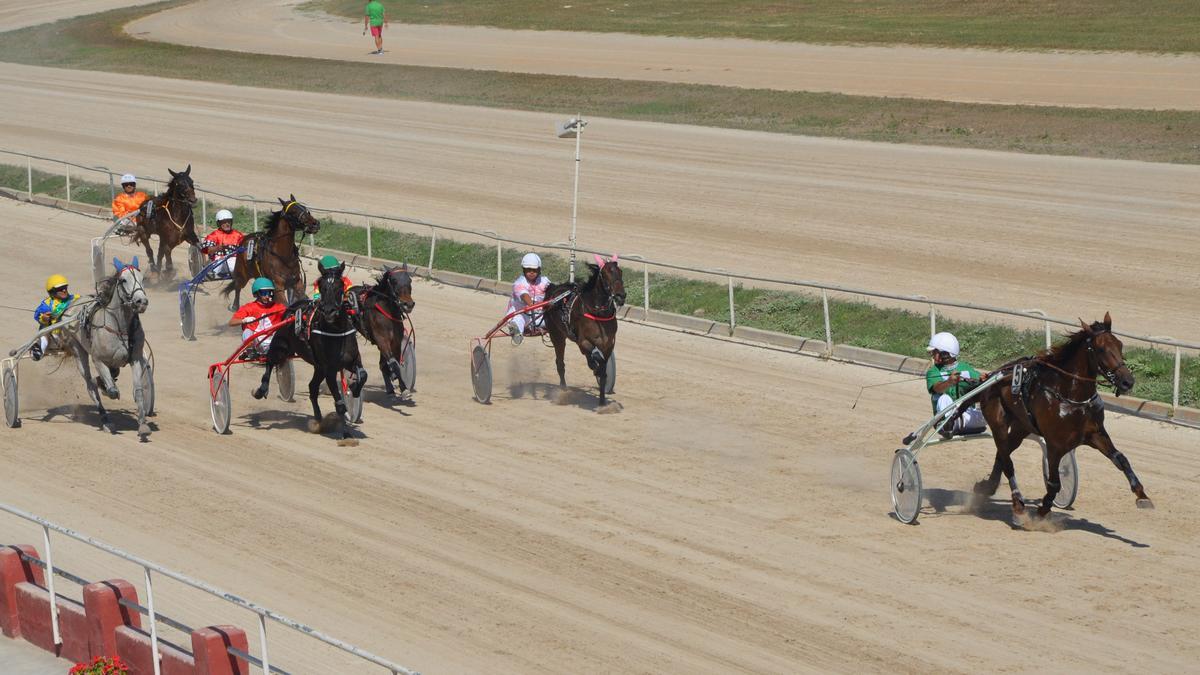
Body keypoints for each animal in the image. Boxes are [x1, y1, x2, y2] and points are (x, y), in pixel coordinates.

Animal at [70, 255, 152, 437]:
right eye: (123, 280)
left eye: (142, 279)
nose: (141, 301)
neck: (120, 328)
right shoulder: (98, 360)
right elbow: (112, 392)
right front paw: (107, 388)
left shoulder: (135, 359)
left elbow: (139, 391)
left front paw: (143, 425)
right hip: (79, 351)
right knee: (90, 385)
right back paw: (106, 420)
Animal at [252, 263, 364, 437]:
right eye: (322, 287)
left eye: (339, 287)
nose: (329, 311)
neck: (336, 332)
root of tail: (292, 308)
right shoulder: (330, 370)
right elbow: (339, 404)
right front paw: (346, 433)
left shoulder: (352, 360)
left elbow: (363, 375)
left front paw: (354, 388)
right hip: (281, 347)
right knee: (270, 362)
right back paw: (261, 390)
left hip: (318, 367)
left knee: (312, 387)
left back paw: (318, 419)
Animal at [350, 264, 415, 398]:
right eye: (394, 280)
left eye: (410, 280)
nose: (408, 304)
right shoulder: (382, 340)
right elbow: (393, 364)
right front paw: (404, 388)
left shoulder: (395, 342)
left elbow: (394, 363)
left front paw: (401, 386)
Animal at [542, 253, 624, 403]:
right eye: (605, 274)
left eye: (620, 272)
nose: (621, 295)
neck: (598, 314)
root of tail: (554, 290)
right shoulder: (583, 341)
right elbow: (594, 357)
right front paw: (595, 367)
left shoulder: (608, 345)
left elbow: (603, 369)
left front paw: (602, 401)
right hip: (557, 335)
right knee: (560, 363)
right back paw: (564, 390)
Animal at [974, 312, 1152, 523]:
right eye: (1101, 349)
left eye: (1120, 344)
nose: (1127, 381)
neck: (1072, 397)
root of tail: (992, 375)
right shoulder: (1055, 444)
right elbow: (1054, 483)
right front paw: (1042, 511)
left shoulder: (1095, 434)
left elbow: (1121, 459)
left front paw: (1142, 495)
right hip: (998, 421)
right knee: (1007, 461)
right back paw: (1017, 505)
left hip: (1021, 427)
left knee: (1004, 453)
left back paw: (988, 486)